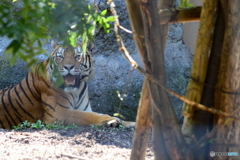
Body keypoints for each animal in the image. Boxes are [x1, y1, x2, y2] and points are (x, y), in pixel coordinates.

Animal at [0, 40, 135, 129]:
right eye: (60, 56)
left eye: (77, 56)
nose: (68, 67)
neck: (77, 90)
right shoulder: (59, 113)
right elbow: (88, 116)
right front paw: (110, 120)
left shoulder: (84, 108)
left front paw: (131, 123)